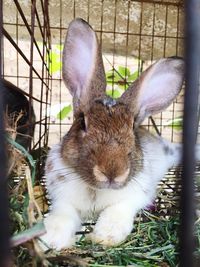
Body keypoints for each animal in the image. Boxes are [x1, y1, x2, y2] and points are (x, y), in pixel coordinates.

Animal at [41, 18, 197, 251]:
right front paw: (49, 240)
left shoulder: (135, 196)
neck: (95, 190)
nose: (112, 172)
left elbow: (117, 212)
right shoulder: (62, 198)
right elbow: (62, 216)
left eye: (132, 127)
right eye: (83, 122)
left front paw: (105, 236)